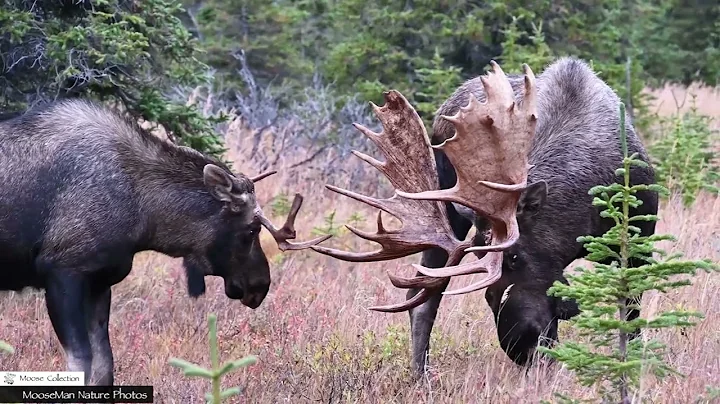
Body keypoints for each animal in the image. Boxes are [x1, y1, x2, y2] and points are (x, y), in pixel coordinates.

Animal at [0, 98, 328, 385]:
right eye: (251, 230)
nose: (260, 286)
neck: (144, 216)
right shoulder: (61, 271)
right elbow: (80, 364)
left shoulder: (100, 281)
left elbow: (105, 366)